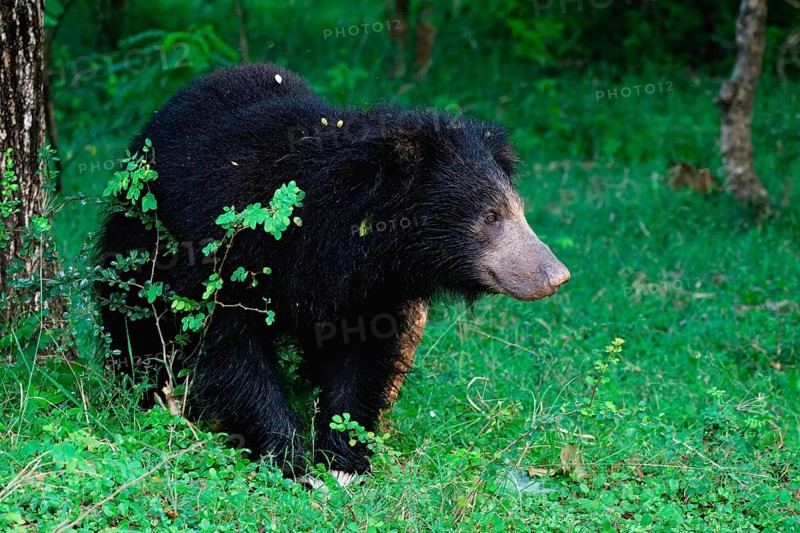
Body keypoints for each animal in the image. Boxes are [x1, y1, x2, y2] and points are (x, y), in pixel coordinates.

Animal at [97, 63, 570, 484]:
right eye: (491, 216)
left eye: (518, 209)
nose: (557, 276)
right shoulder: (224, 254)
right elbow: (233, 349)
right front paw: (292, 463)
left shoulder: (369, 286)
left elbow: (358, 358)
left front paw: (344, 462)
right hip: (141, 238)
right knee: (133, 319)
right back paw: (143, 391)